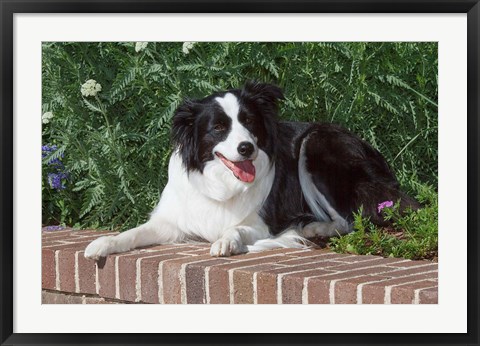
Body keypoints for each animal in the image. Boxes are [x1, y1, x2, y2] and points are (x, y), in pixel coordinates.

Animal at [84, 82, 418, 260]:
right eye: (218, 128)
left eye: (249, 122)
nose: (246, 148)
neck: (221, 183)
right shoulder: (172, 221)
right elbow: (132, 233)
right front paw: (103, 243)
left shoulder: (261, 224)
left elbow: (235, 228)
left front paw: (226, 242)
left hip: (316, 144)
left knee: (350, 219)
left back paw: (313, 227)